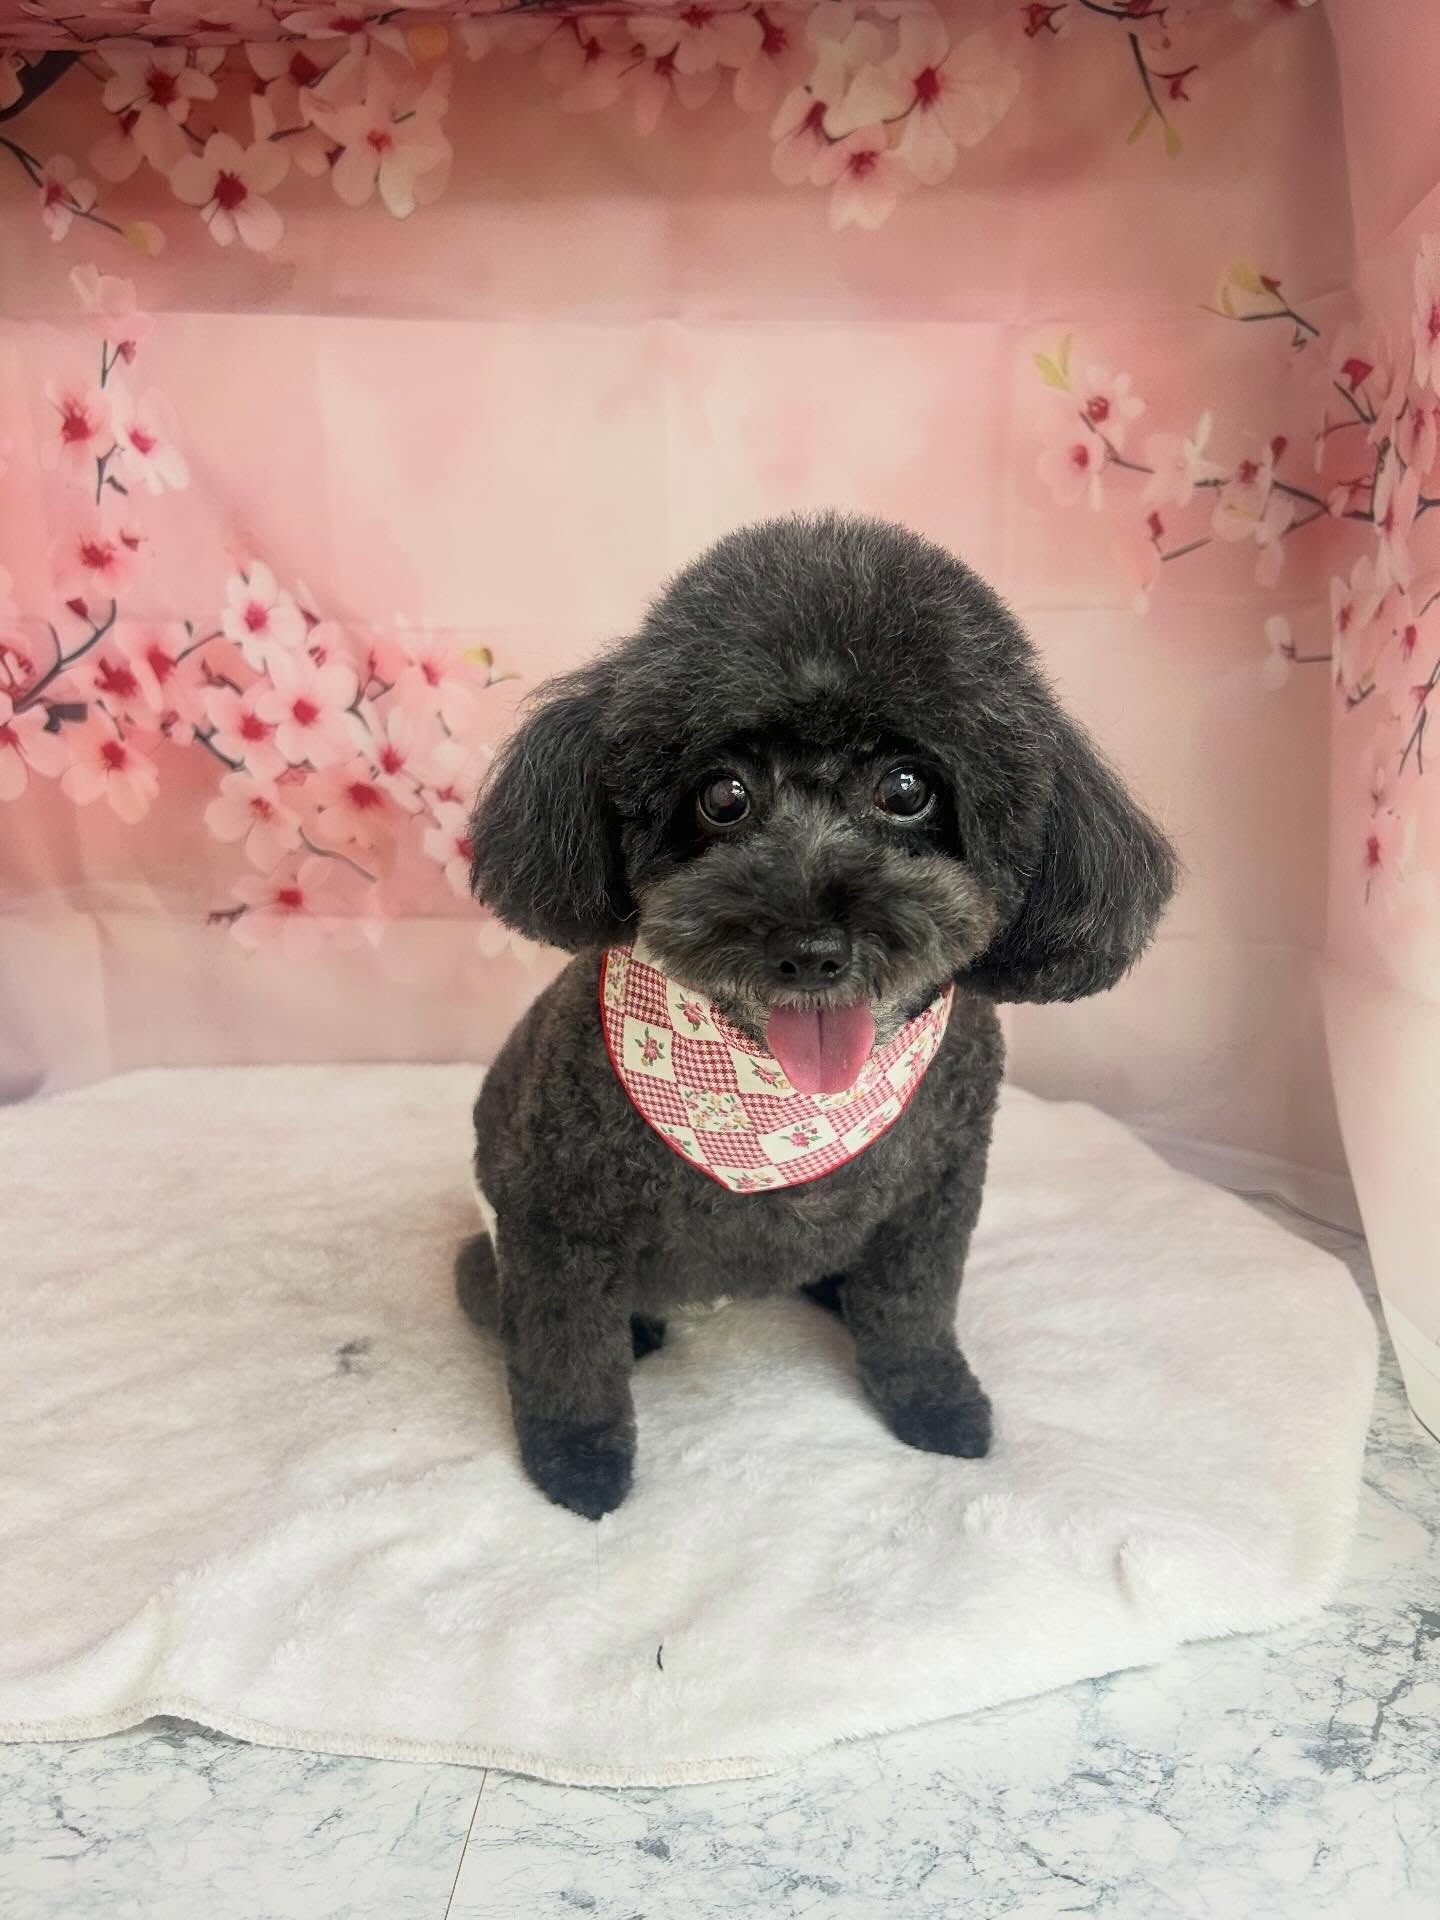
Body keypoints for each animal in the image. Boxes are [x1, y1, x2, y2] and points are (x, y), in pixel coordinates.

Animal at [456, 513, 1176, 1520]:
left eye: (907, 788)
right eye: (723, 794)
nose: (810, 949)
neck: (775, 1109)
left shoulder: (938, 1192)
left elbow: (915, 1309)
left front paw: (935, 1403)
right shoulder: (555, 1213)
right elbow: (567, 1353)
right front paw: (577, 1459)